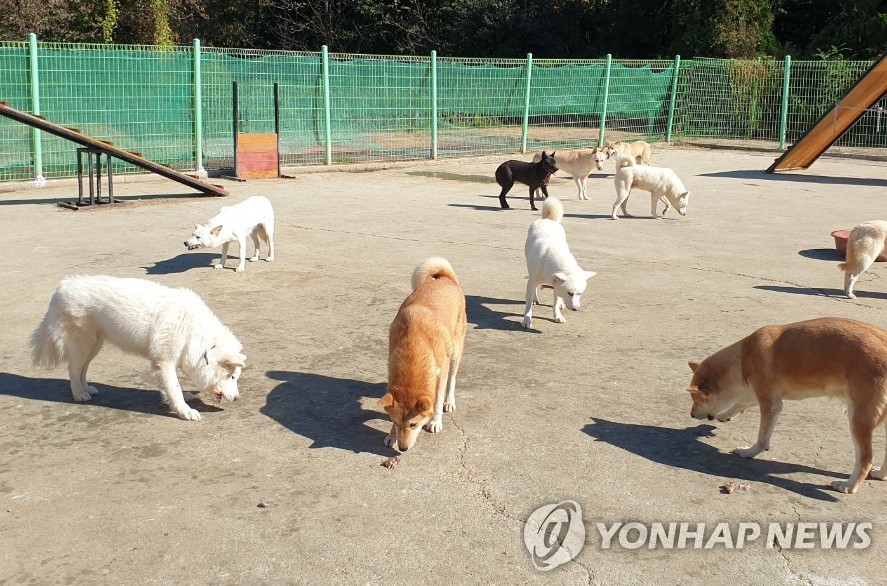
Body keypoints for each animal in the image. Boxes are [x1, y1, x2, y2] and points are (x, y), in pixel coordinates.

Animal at [31, 274, 246, 420]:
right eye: (232, 377)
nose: (237, 399)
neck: (194, 331)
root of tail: (62, 287)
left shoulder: (169, 360)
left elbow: (171, 387)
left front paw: (184, 399)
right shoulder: (164, 361)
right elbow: (174, 387)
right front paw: (184, 411)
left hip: (94, 345)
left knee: (83, 368)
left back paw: (87, 389)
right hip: (81, 345)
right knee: (73, 369)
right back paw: (78, 394)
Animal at [378, 256, 468, 452]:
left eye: (414, 424)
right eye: (395, 422)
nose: (403, 448)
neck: (414, 345)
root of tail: (446, 279)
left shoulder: (441, 373)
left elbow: (437, 401)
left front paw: (435, 421)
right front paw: (391, 435)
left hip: (455, 351)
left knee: (452, 379)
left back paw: (449, 401)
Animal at [520, 197, 596, 328]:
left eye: (580, 293)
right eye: (570, 293)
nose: (576, 309)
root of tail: (547, 219)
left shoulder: (556, 283)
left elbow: (555, 302)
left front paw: (557, 315)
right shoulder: (533, 281)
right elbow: (528, 304)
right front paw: (527, 319)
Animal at [692, 314, 887, 492]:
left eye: (697, 400)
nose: (691, 415)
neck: (742, 359)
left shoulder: (770, 404)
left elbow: (762, 438)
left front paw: (750, 452)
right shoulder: (761, 395)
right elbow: (741, 403)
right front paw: (726, 415)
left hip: (858, 419)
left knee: (866, 459)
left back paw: (849, 485)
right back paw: (880, 474)